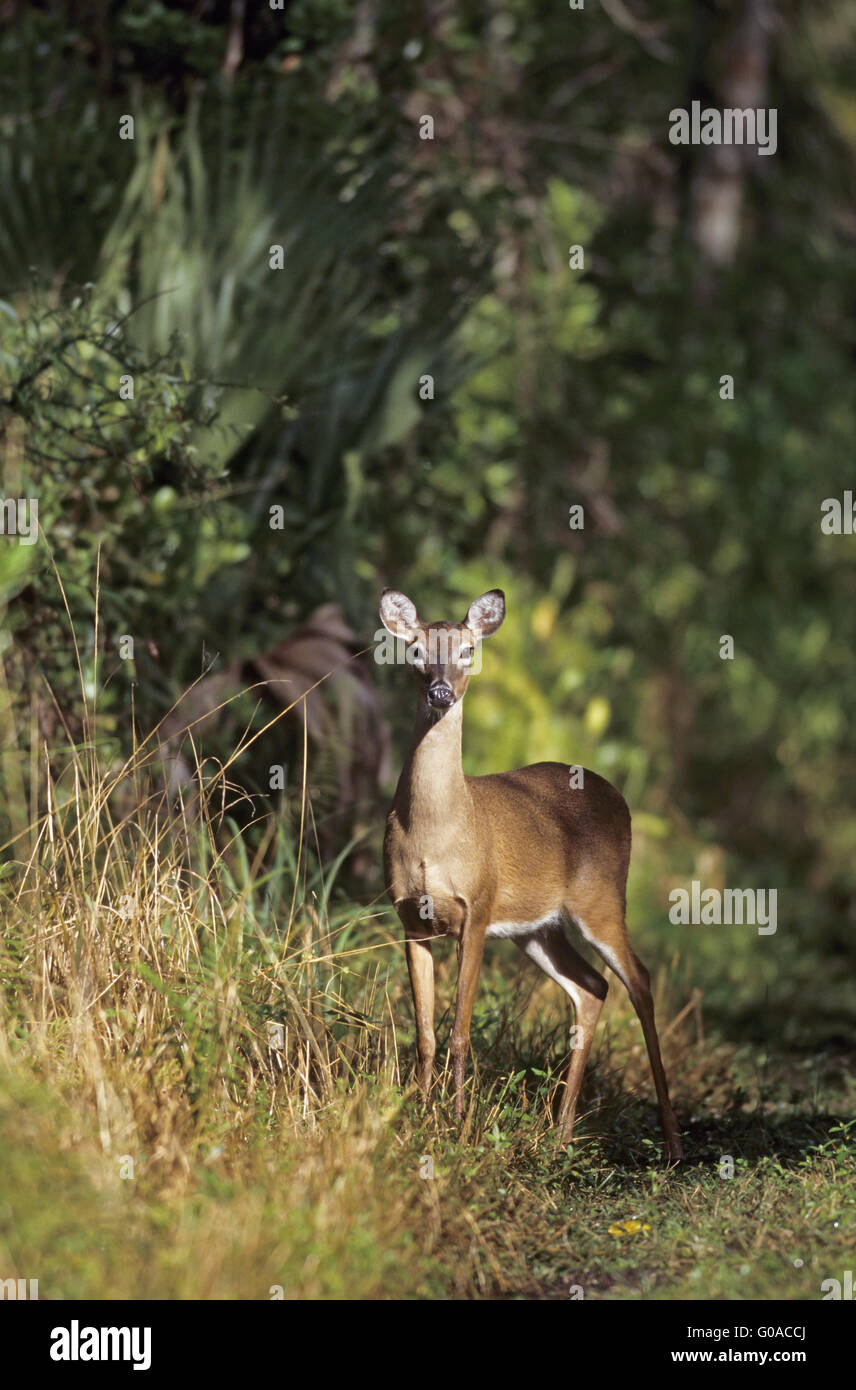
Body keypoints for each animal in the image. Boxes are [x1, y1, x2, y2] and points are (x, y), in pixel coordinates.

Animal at [380, 586, 680, 1162]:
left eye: (469, 649)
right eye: (415, 651)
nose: (441, 692)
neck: (435, 831)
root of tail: (617, 795)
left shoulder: (477, 909)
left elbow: (460, 1031)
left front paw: (457, 1125)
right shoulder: (410, 919)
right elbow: (425, 1033)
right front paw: (418, 1117)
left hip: (601, 899)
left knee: (639, 980)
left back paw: (673, 1141)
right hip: (538, 927)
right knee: (591, 986)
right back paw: (559, 1132)